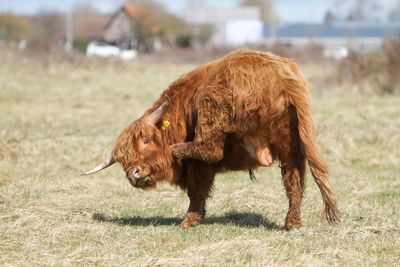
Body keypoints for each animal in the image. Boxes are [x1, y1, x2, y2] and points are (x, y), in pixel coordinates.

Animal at [83, 49, 338, 229]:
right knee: (294, 179)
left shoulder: (197, 166)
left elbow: (198, 189)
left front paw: (189, 220)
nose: (133, 174)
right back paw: (292, 223)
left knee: (211, 148)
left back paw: (178, 148)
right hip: (291, 143)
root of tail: (283, 76)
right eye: (123, 161)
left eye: (145, 141)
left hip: (212, 102)